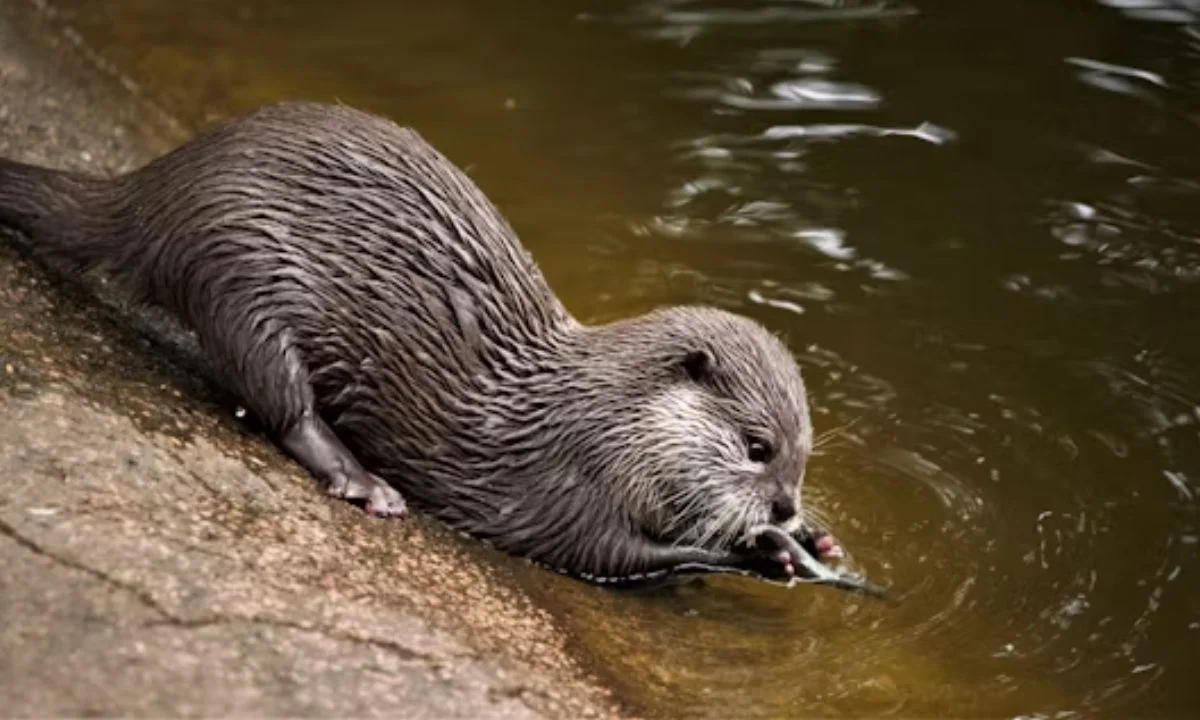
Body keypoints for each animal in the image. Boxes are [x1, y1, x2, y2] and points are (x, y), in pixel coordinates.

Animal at [0, 101, 842, 585]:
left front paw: (813, 537)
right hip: (243, 275)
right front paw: (757, 552)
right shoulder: (574, 488)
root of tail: (156, 188)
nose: (785, 503)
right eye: (758, 447)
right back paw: (362, 479)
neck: (604, 420)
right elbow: (613, 556)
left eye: (803, 454)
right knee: (281, 403)